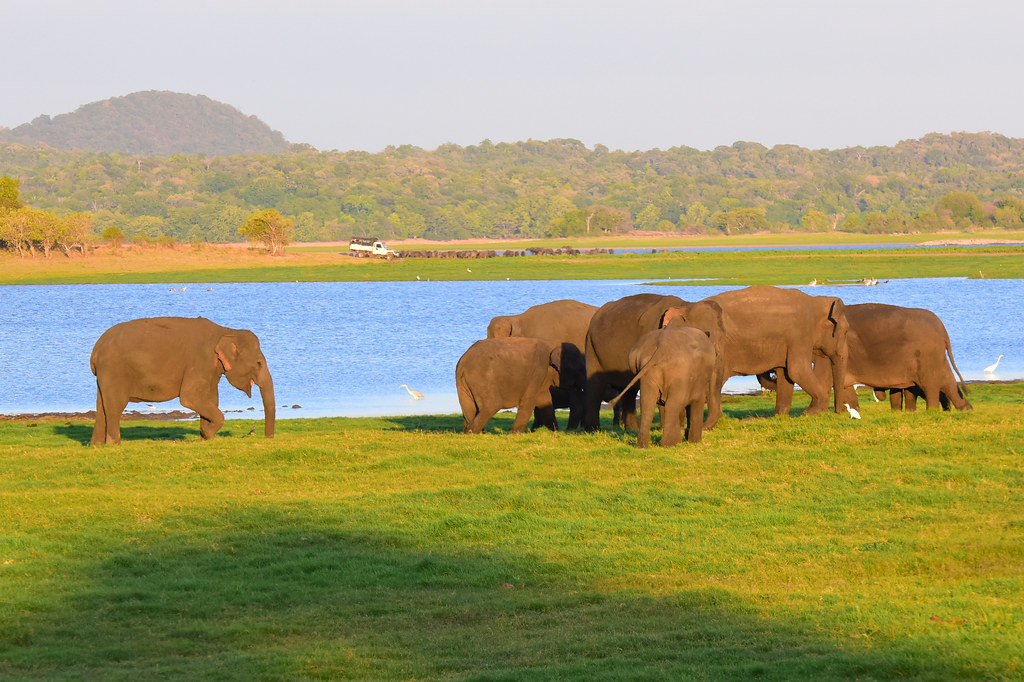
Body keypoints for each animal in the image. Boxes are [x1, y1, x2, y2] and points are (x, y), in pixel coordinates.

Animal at [90, 315, 274, 444]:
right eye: (259, 363)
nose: (268, 438)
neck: (226, 331)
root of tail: (97, 346)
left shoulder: (210, 370)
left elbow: (211, 398)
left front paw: (206, 438)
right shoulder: (200, 361)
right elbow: (190, 398)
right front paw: (207, 434)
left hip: (104, 375)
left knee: (102, 406)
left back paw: (97, 445)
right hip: (114, 371)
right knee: (114, 406)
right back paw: (114, 444)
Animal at [456, 335, 585, 436]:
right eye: (581, 369)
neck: (553, 343)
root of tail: (463, 361)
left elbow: (545, 400)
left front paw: (555, 432)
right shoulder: (537, 372)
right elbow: (529, 401)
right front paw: (515, 435)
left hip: (463, 383)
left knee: (469, 407)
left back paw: (469, 433)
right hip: (482, 378)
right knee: (492, 405)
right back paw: (474, 433)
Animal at [663, 282, 847, 425]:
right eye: (843, 332)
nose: (840, 412)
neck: (816, 301)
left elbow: (786, 374)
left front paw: (781, 416)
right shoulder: (800, 335)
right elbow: (797, 370)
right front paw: (812, 413)